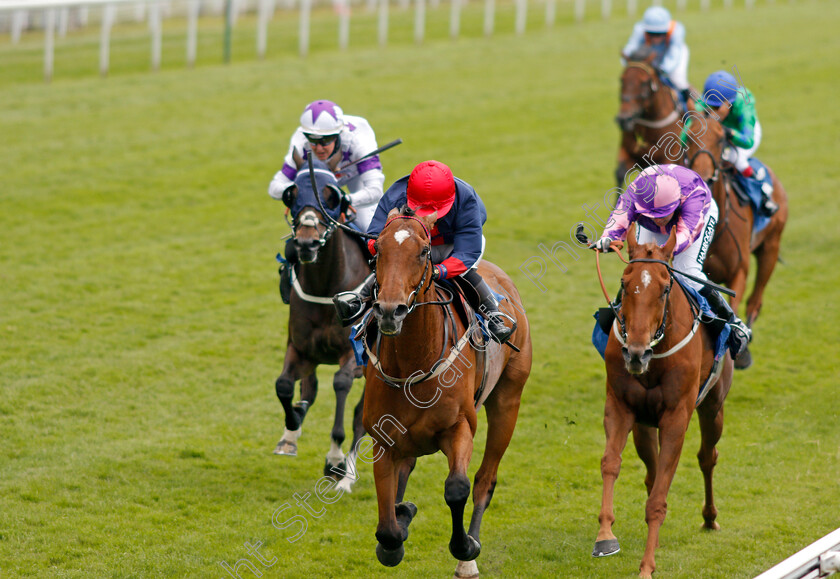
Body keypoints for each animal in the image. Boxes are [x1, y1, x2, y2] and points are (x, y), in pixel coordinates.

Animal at [274, 156, 370, 492]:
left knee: (361, 416)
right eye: (292, 194)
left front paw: (335, 460)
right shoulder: (300, 348)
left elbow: (340, 386)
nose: (307, 243)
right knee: (310, 387)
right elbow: (285, 385)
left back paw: (347, 476)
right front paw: (292, 425)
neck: (327, 287)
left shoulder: (353, 356)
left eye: (332, 195)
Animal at [360, 208, 532, 579]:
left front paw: (464, 548)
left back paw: (469, 553)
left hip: (508, 400)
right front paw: (397, 528)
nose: (389, 310)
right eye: (377, 250)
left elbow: (457, 488)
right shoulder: (382, 438)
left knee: (485, 479)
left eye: (424, 252)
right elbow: (387, 522)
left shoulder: (459, 427)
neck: (413, 363)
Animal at [592, 225, 736, 579]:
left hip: (713, 408)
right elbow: (611, 464)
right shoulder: (620, 407)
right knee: (653, 469)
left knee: (707, 457)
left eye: (664, 288)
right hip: (644, 425)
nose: (635, 352)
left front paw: (646, 566)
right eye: (624, 283)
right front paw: (605, 536)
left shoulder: (675, 417)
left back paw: (710, 518)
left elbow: (659, 498)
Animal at [616, 48, 688, 188]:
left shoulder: (668, 158)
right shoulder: (628, 151)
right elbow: (620, 173)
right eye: (622, 80)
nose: (624, 119)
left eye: (644, 82)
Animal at [684, 109, 788, 370]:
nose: (702, 176)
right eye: (689, 136)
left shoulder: (738, 272)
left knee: (755, 301)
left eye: (721, 138)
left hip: (770, 248)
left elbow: (735, 305)